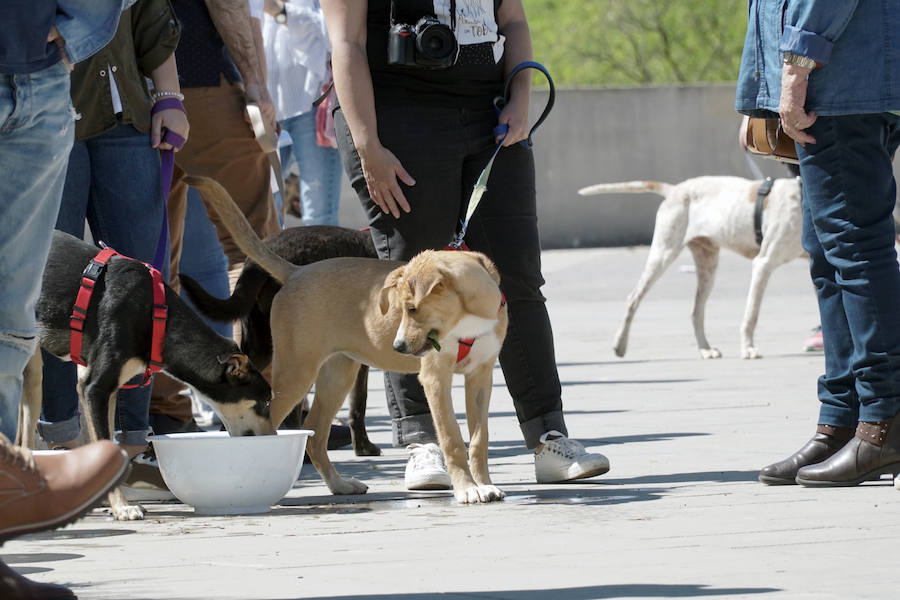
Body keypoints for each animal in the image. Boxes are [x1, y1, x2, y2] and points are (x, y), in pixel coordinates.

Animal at [15, 230, 272, 520]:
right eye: (265, 402)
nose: (273, 438)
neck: (155, 316)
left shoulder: (105, 390)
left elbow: (111, 449)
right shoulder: (94, 388)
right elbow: (105, 443)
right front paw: (121, 506)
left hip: (32, 372)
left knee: (23, 439)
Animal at [179, 225, 380, 454]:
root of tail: (256, 262)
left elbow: (358, 401)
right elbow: (360, 401)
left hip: (262, 345)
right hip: (300, 352)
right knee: (291, 411)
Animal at [580, 176, 804, 358]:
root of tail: (675, 189)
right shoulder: (763, 264)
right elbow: (751, 315)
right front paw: (748, 349)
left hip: (707, 265)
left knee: (696, 312)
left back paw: (705, 349)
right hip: (663, 254)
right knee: (633, 299)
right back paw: (620, 344)